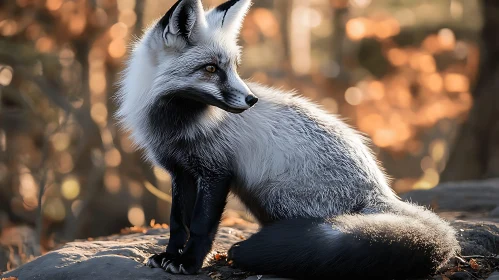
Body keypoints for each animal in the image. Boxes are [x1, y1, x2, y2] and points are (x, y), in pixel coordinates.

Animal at [114, 0, 460, 278]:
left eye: (234, 67)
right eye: (211, 69)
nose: (251, 99)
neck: (179, 125)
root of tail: (382, 192)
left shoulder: (217, 172)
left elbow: (200, 226)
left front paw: (189, 263)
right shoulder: (180, 171)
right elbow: (176, 223)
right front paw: (169, 256)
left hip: (274, 194)